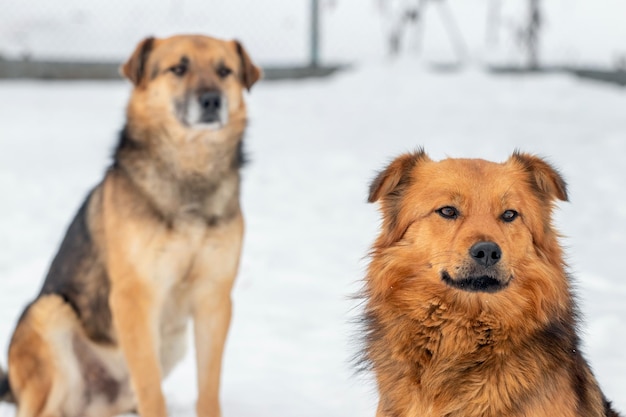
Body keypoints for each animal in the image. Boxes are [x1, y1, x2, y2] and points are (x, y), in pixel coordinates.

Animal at [0, 33, 260, 416]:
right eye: (178, 69)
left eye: (224, 71)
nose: (212, 101)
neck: (191, 173)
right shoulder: (136, 298)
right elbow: (151, 389)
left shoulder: (213, 299)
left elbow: (208, 389)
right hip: (48, 313)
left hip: (172, 342)